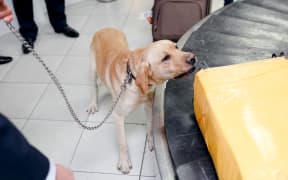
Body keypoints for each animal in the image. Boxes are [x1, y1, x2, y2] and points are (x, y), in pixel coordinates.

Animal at [86, 27, 197, 174]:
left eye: (176, 47)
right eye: (165, 58)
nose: (193, 58)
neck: (132, 78)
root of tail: (105, 28)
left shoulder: (149, 105)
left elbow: (150, 126)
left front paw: (150, 141)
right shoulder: (118, 116)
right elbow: (123, 143)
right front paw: (124, 162)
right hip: (92, 69)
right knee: (94, 86)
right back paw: (93, 103)